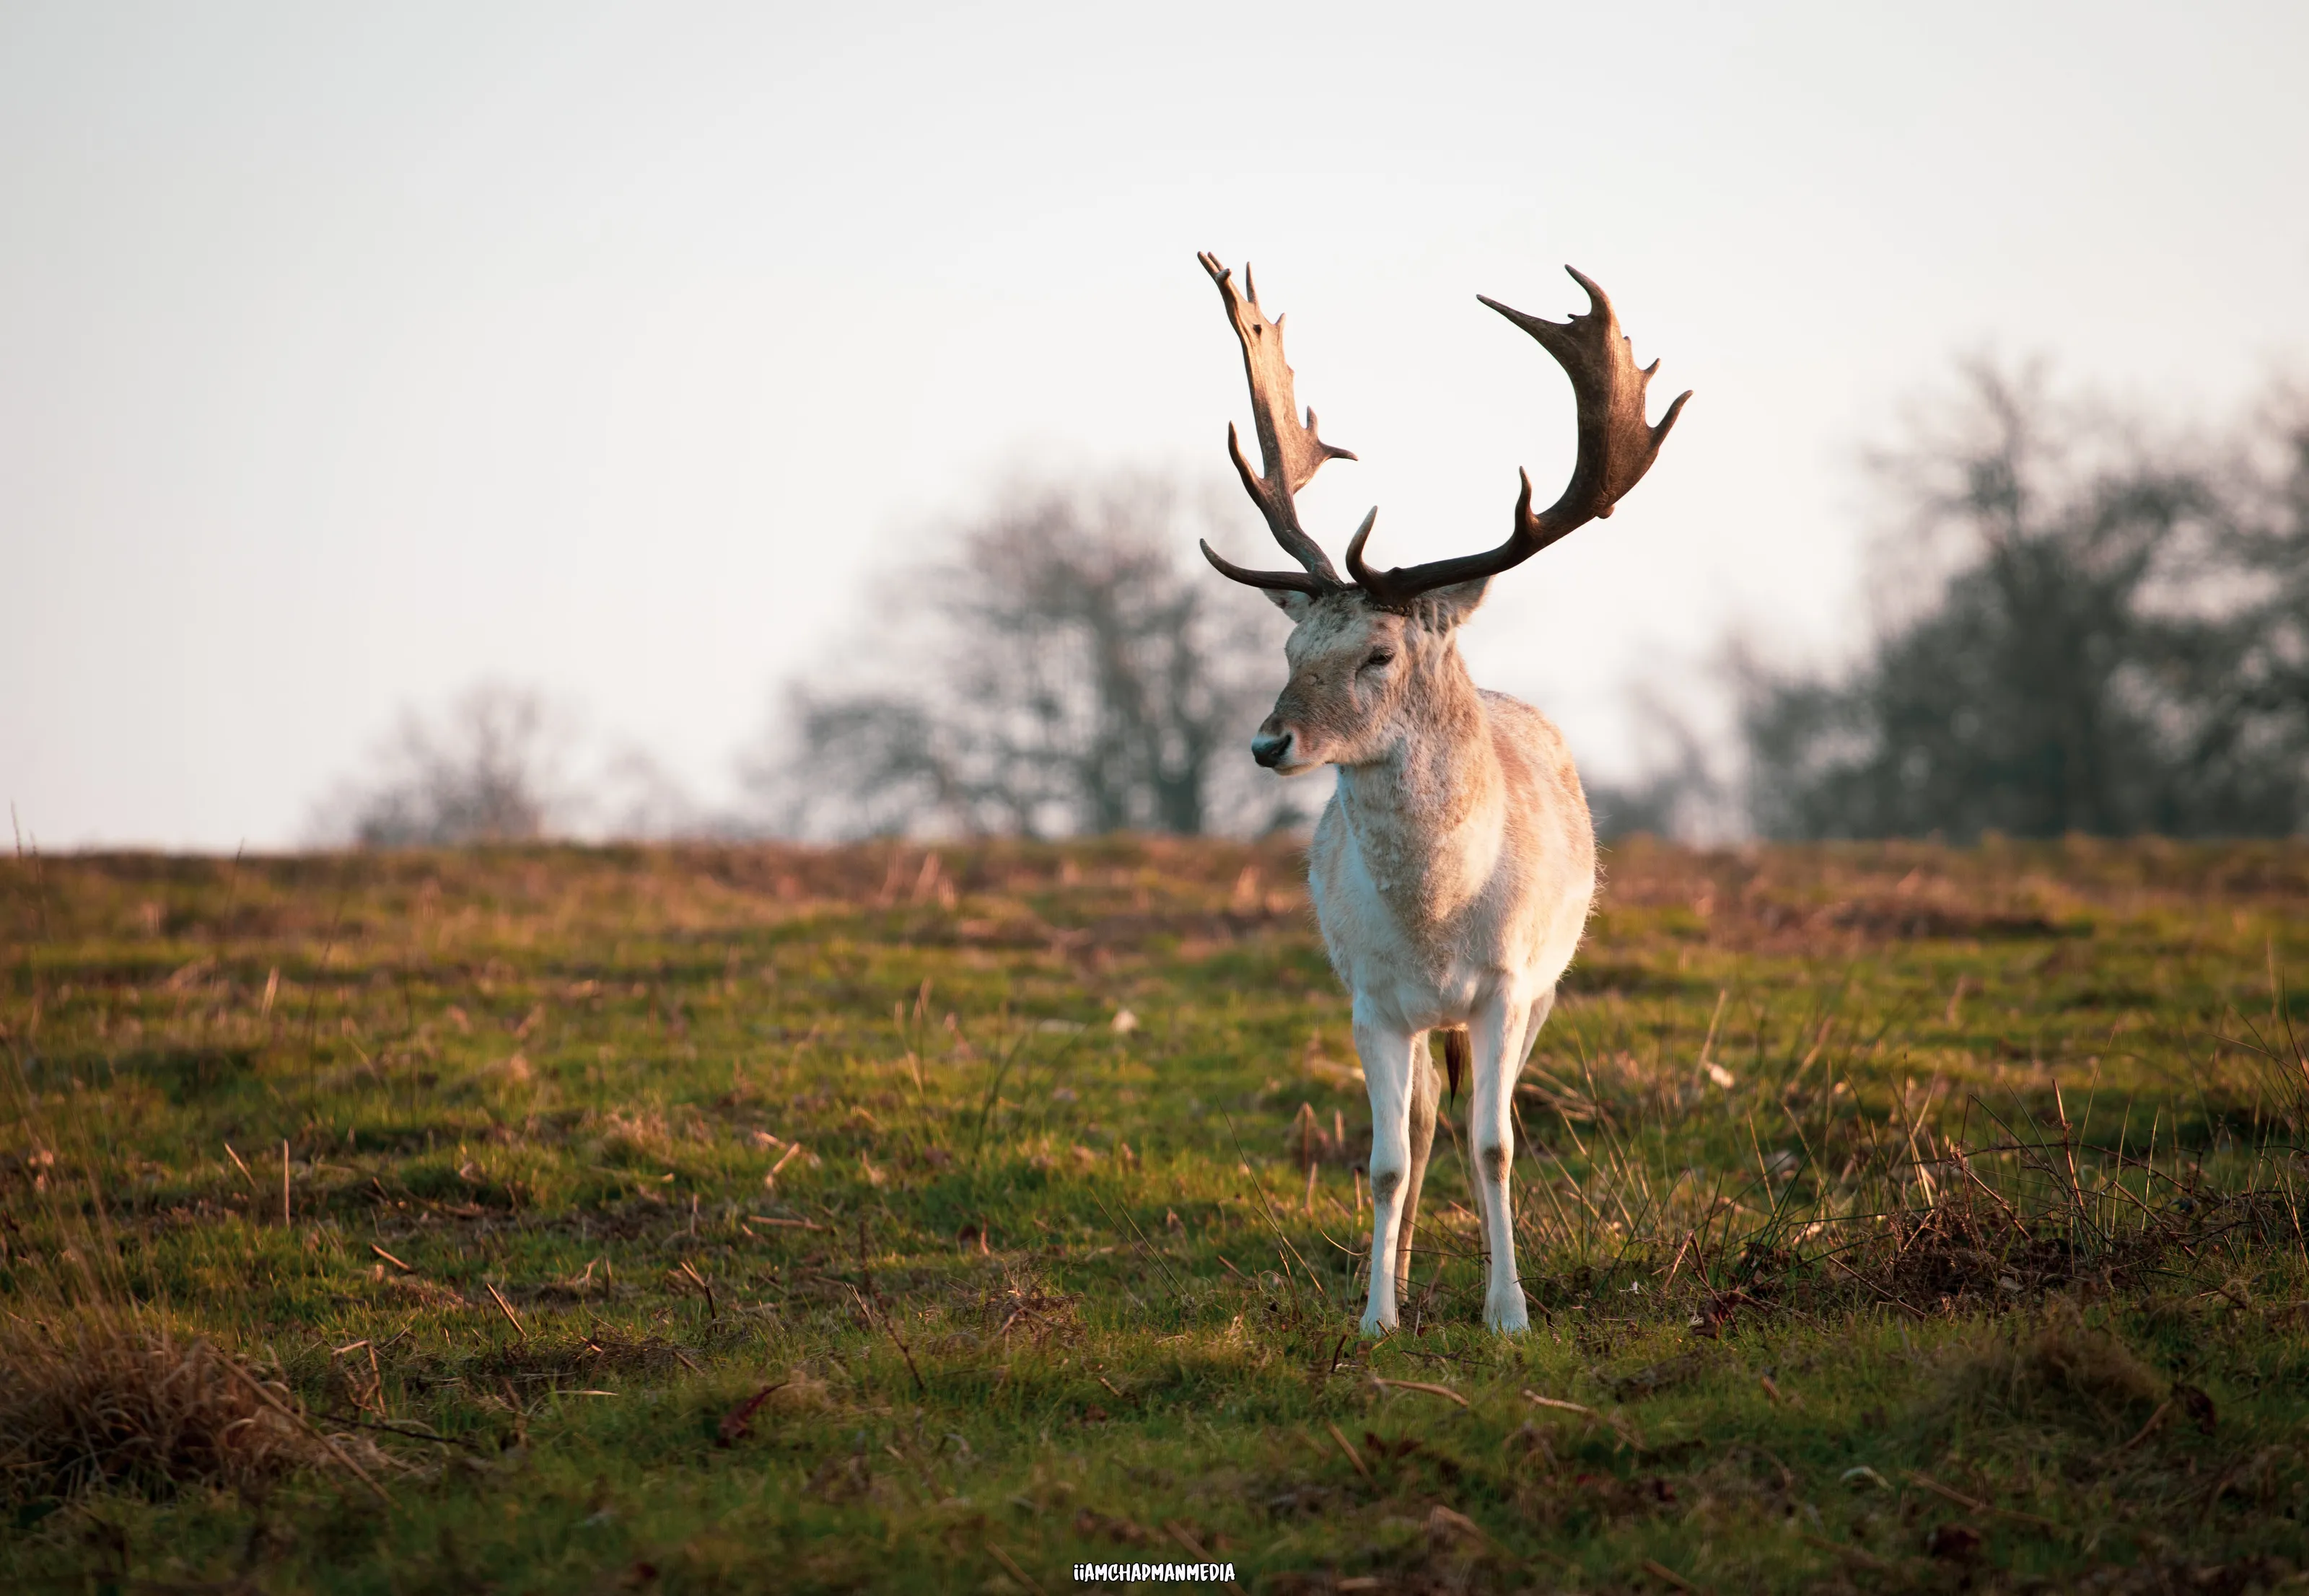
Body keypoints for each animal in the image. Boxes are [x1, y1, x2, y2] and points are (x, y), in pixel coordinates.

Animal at [1194, 251, 1688, 1334]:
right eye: (1290, 648)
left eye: (1378, 652)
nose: (1267, 742)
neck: (1437, 921)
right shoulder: (1368, 1000)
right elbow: (1386, 1159)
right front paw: (1377, 1314)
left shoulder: (1508, 985)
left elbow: (1495, 1145)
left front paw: (1510, 1312)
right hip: (1417, 1020)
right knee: (1422, 1126)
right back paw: (1405, 1272)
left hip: (1548, 983)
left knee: (1474, 1120)